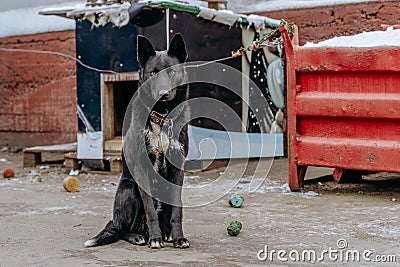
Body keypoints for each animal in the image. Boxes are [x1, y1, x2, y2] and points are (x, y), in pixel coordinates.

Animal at [85, 33, 191, 249]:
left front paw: (178, 238)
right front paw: (155, 239)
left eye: (172, 72)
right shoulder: (142, 169)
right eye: (153, 73)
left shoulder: (178, 168)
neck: (162, 117)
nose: (163, 93)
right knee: (122, 229)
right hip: (129, 189)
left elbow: (177, 210)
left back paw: (166, 234)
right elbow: (150, 209)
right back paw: (141, 236)